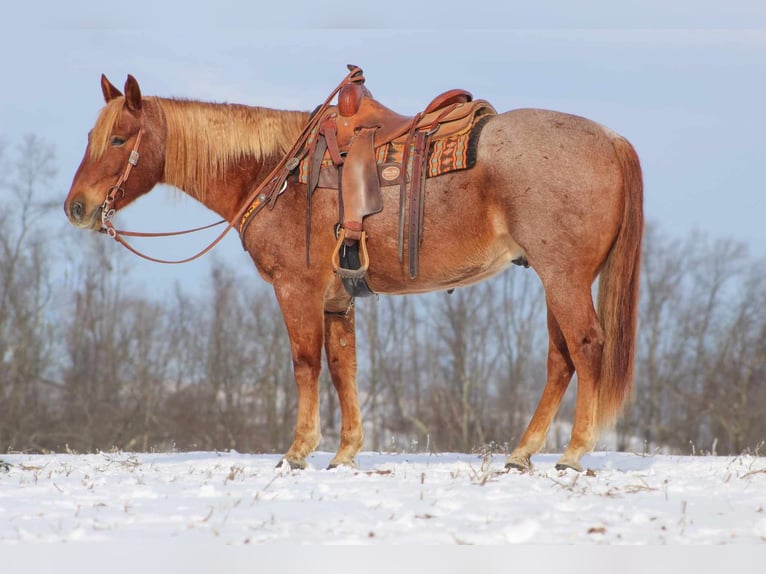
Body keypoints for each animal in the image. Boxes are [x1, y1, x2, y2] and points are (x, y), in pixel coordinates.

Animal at [66, 72, 644, 472]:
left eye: (119, 139)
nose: (77, 207)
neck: (276, 171)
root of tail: (611, 139)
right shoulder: (336, 300)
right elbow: (345, 369)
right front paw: (344, 454)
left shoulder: (296, 290)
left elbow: (305, 365)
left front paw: (298, 451)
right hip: (555, 280)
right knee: (560, 360)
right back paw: (523, 453)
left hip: (564, 278)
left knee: (587, 346)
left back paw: (573, 453)